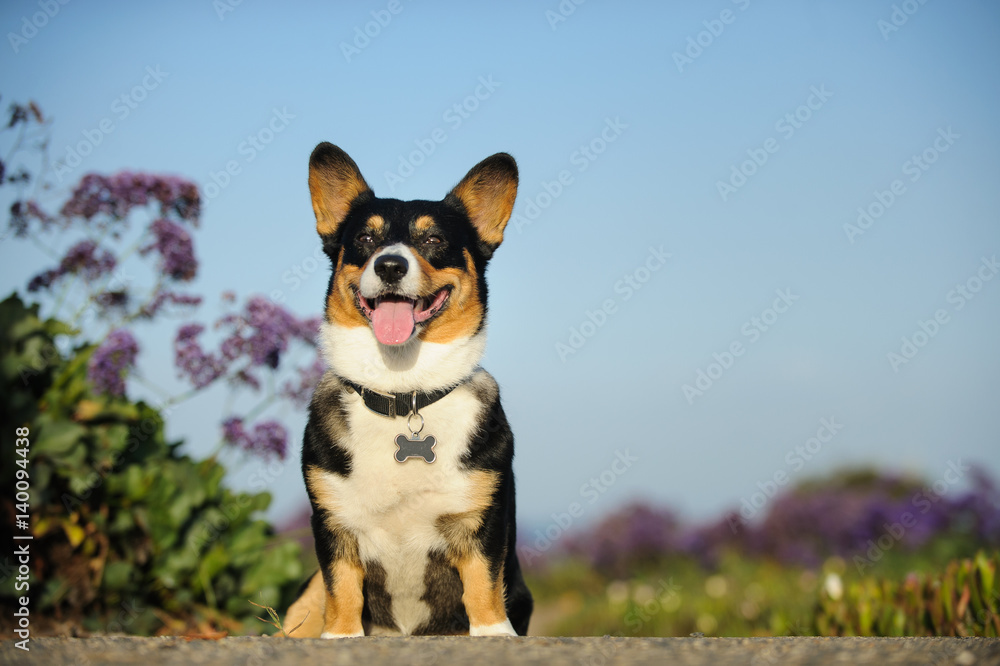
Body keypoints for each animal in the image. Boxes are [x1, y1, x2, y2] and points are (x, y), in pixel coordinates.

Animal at [282, 143, 532, 636]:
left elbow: (483, 581)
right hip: (303, 596)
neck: (403, 391)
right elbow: (341, 586)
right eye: (365, 239)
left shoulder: (482, 521)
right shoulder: (333, 524)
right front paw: (341, 636)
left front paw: (494, 633)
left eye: (433, 239)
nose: (391, 265)